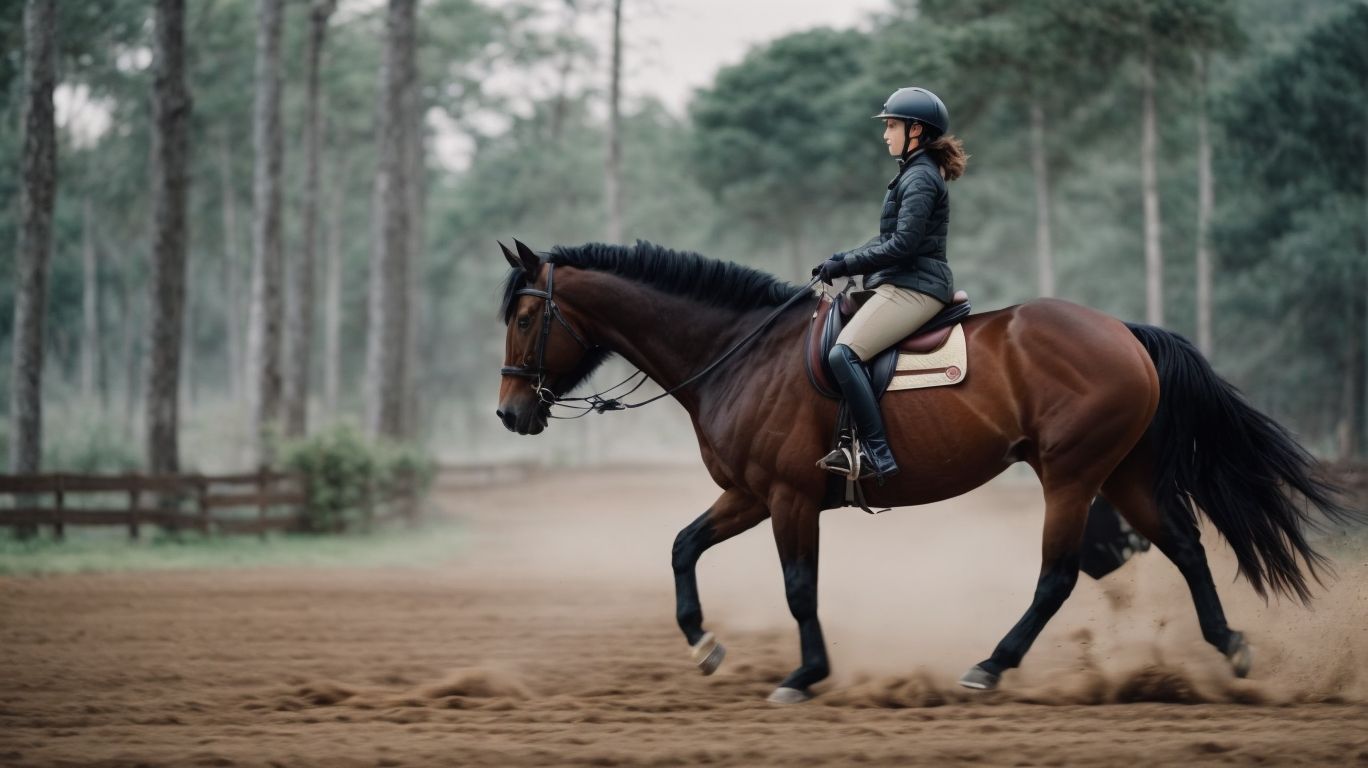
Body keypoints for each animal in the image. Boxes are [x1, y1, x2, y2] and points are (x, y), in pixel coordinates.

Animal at [495, 239, 1357, 704]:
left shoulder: (787, 497)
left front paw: (805, 674)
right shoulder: (746, 493)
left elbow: (799, 587)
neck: (739, 354)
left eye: (528, 316)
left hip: (1072, 475)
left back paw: (989, 665)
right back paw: (1231, 647)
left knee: (1059, 574)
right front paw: (704, 647)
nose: (510, 414)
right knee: (1182, 545)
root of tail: (1125, 331)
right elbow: (681, 546)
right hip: (1125, 472)